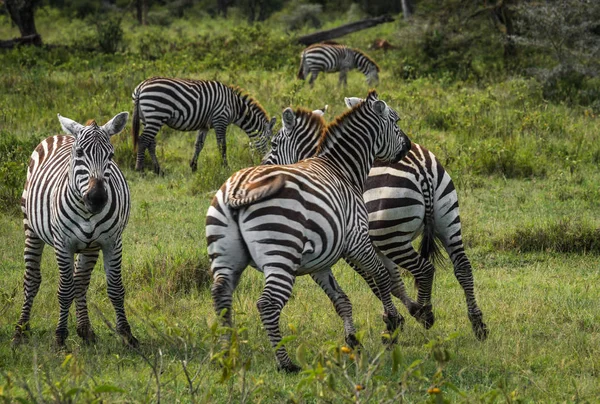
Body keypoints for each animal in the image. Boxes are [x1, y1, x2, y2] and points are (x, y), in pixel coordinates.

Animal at [13, 112, 138, 348]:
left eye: (111, 155)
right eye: (79, 153)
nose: (97, 198)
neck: (87, 211)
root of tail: (61, 135)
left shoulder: (112, 242)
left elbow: (115, 288)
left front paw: (127, 334)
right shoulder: (63, 244)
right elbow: (64, 290)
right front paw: (60, 336)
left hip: (89, 247)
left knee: (80, 282)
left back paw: (85, 330)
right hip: (31, 228)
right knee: (32, 279)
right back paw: (20, 331)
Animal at [131, 77, 276, 174]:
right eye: (271, 142)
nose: (267, 165)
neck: (235, 107)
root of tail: (141, 87)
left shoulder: (204, 125)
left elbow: (198, 145)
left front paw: (193, 166)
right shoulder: (220, 119)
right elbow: (222, 145)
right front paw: (225, 167)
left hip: (148, 119)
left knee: (151, 143)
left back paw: (158, 170)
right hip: (156, 114)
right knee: (143, 140)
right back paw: (140, 169)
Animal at [206, 90, 412, 372]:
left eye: (273, 145)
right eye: (396, 121)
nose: (409, 146)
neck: (342, 169)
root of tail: (238, 191)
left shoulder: (319, 261)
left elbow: (341, 298)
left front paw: (353, 340)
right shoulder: (357, 239)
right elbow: (380, 276)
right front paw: (392, 323)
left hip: (225, 255)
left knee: (221, 297)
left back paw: (227, 355)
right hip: (280, 253)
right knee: (268, 304)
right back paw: (286, 363)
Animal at [262, 102, 488, 340]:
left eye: (274, 143)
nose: (264, 169)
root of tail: (422, 168)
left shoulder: (353, 245)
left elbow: (374, 280)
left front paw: (398, 317)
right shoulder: (371, 244)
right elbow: (392, 280)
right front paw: (403, 313)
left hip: (392, 237)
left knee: (424, 269)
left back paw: (426, 312)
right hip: (447, 221)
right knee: (463, 267)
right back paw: (477, 323)